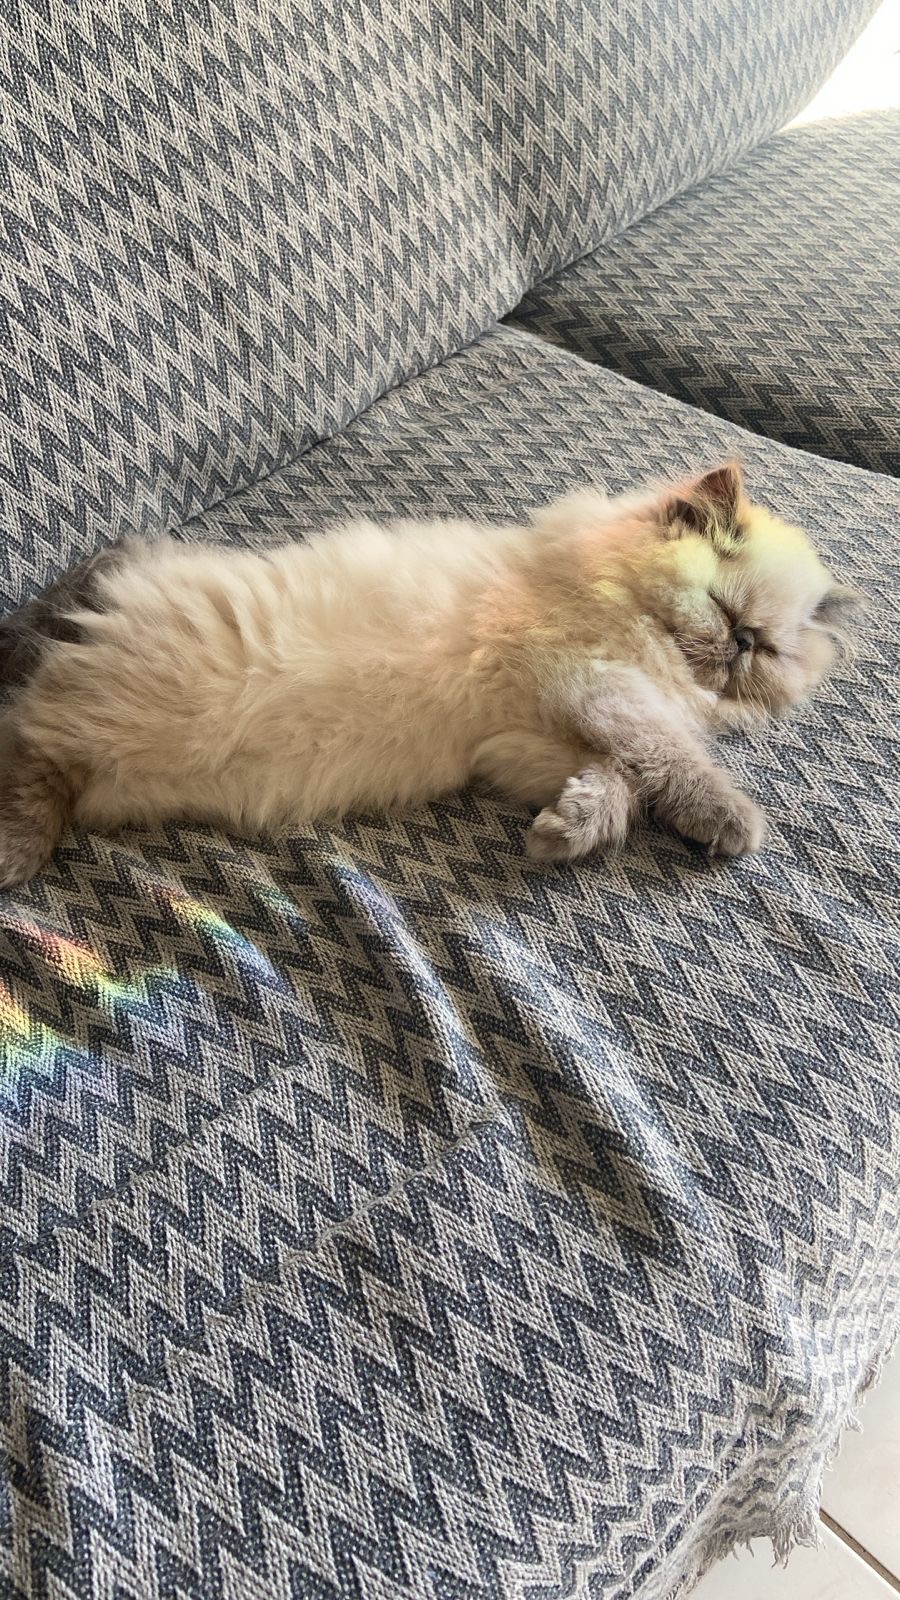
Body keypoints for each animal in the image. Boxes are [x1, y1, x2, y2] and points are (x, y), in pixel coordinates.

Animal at [0, 461, 855, 888]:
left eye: (767, 648)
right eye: (722, 610)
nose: (737, 649)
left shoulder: (527, 739)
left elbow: (619, 782)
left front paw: (566, 832)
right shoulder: (594, 682)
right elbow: (668, 761)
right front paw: (732, 822)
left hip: (121, 765)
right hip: (110, 706)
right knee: (27, 740)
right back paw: (15, 857)